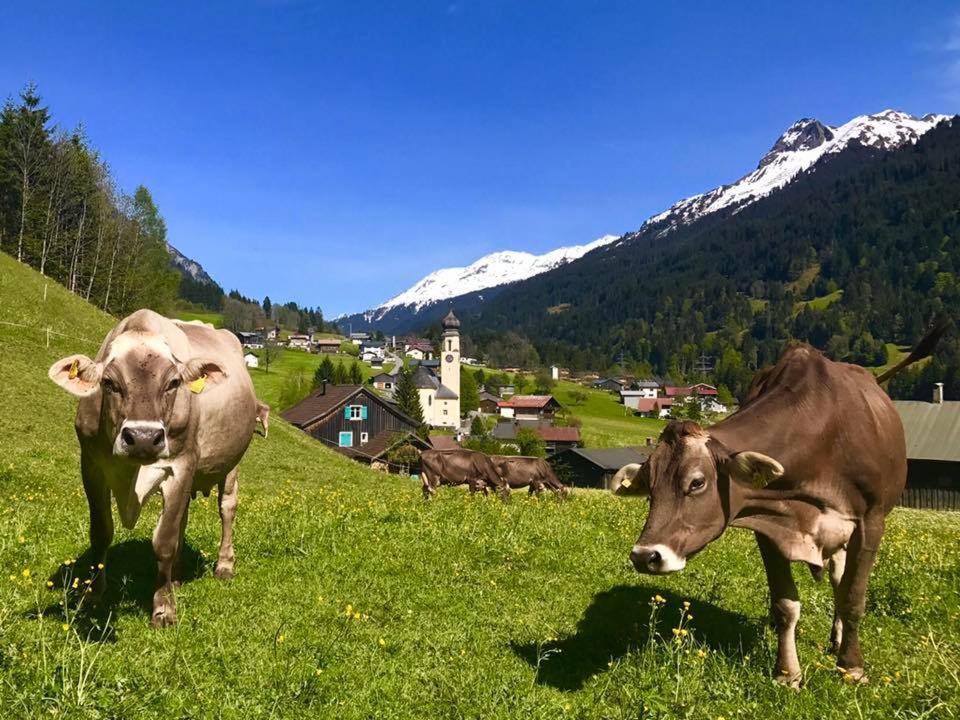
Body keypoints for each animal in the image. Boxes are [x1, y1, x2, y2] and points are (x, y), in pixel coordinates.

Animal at [47, 310, 260, 632]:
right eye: (109, 382)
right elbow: (101, 532)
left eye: (173, 382)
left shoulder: (181, 464)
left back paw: (224, 565)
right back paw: (176, 576)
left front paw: (164, 609)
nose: (144, 437)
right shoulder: (91, 465)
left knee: (227, 508)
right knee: (184, 515)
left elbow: (164, 541)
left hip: (232, 462)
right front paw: (93, 592)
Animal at [616, 324, 944, 688]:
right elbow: (785, 604)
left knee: (839, 581)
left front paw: (852, 666)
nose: (645, 556)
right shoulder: (768, 524)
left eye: (697, 483)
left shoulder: (870, 521)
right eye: (650, 488)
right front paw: (787, 673)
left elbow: (852, 598)